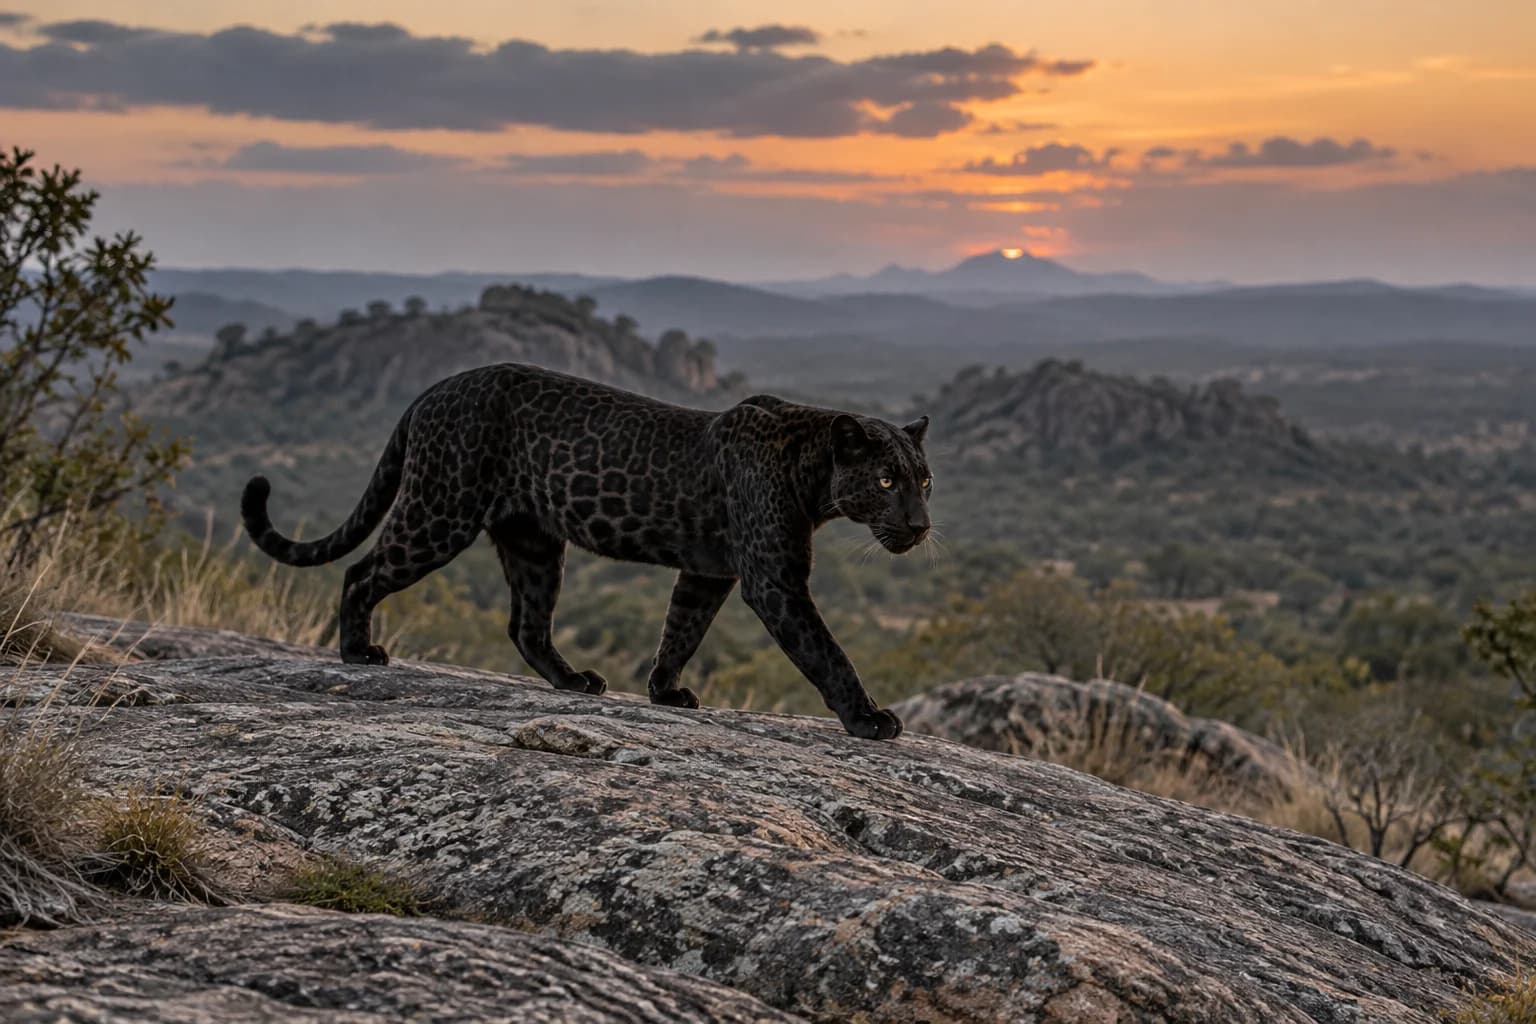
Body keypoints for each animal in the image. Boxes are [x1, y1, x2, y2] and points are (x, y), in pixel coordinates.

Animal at [241, 362, 933, 740]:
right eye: (885, 481)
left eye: (924, 480)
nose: (922, 525)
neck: (811, 470)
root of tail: (431, 391)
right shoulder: (775, 580)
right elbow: (827, 651)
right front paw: (869, 719)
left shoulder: (707, 572)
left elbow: (681, 630)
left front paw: (663, 692)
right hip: (440, 511)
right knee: (362, 572)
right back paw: (358, 652)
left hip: (533, 543)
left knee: (526, 625)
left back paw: (574, 681)